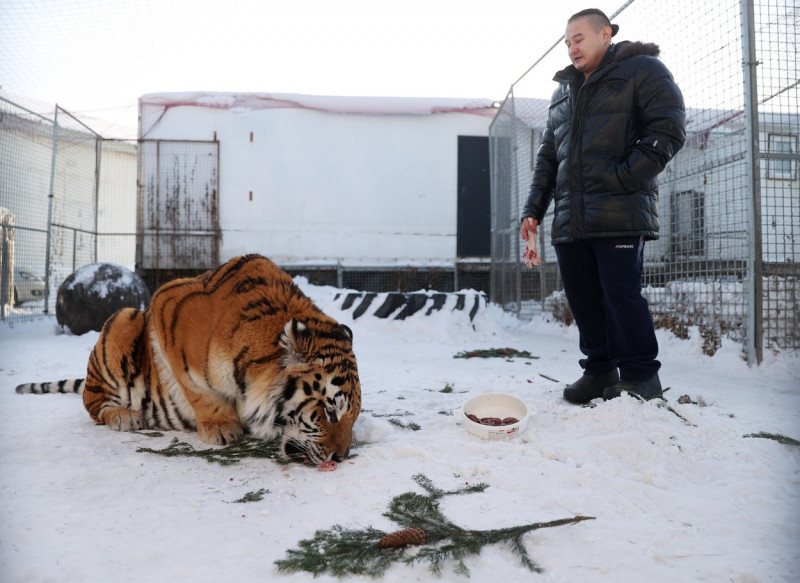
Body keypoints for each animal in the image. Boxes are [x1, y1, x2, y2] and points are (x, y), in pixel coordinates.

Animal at [15, 254, 360, 466]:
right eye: (330, 411)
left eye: (353, 415)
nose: (341, 457)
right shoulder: (167, 307)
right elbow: (199, 391)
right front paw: (222, 427)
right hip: (123, 319)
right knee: (91, 402)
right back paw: (124, 416)